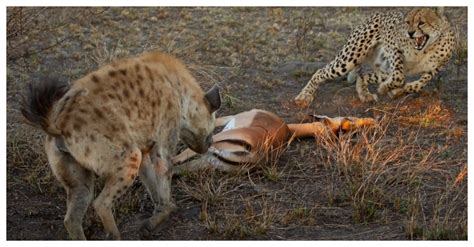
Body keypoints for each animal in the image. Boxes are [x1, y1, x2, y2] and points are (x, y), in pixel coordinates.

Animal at [21, 50, 221, 239]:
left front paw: (160, 211)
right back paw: (115, 236)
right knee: (100, 202)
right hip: (125, 155)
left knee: (74, 213)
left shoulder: (142, 144)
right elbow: (164, 170)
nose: (209, 145)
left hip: (71, 167)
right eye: (211, 132)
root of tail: (58, 124)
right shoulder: (164, 132)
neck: (179, 90)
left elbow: (149, 178)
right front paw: (159, 216)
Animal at [294, 7, 454, 107]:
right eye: (408, 22)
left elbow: (421, 82)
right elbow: (399, 76)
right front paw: (385, 89)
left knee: (363, 74)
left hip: (381, 67)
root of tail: (375, 15)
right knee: (321, 71)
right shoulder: (393, 46)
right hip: (350, 57)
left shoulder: (438, 67)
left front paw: (400, 89)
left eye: (421, 23)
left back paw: (366, 94)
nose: (409, 33)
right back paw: (304, 96)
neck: (426, 49)